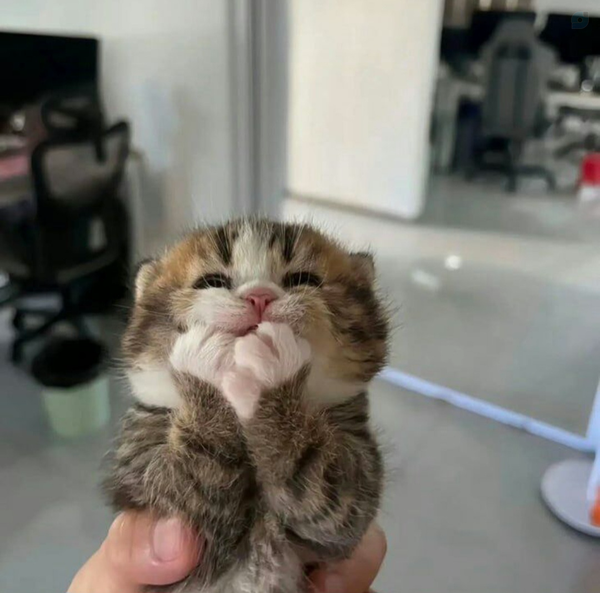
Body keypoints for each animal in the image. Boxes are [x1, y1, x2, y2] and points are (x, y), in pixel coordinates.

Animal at [104, 219, 389, 593]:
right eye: (211, 282)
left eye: (304, 280)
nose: (260, 297)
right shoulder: (146, 482)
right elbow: (191, 497)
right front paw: (205, 364)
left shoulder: (353, 490)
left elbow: (333, 500)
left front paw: (271, 376)